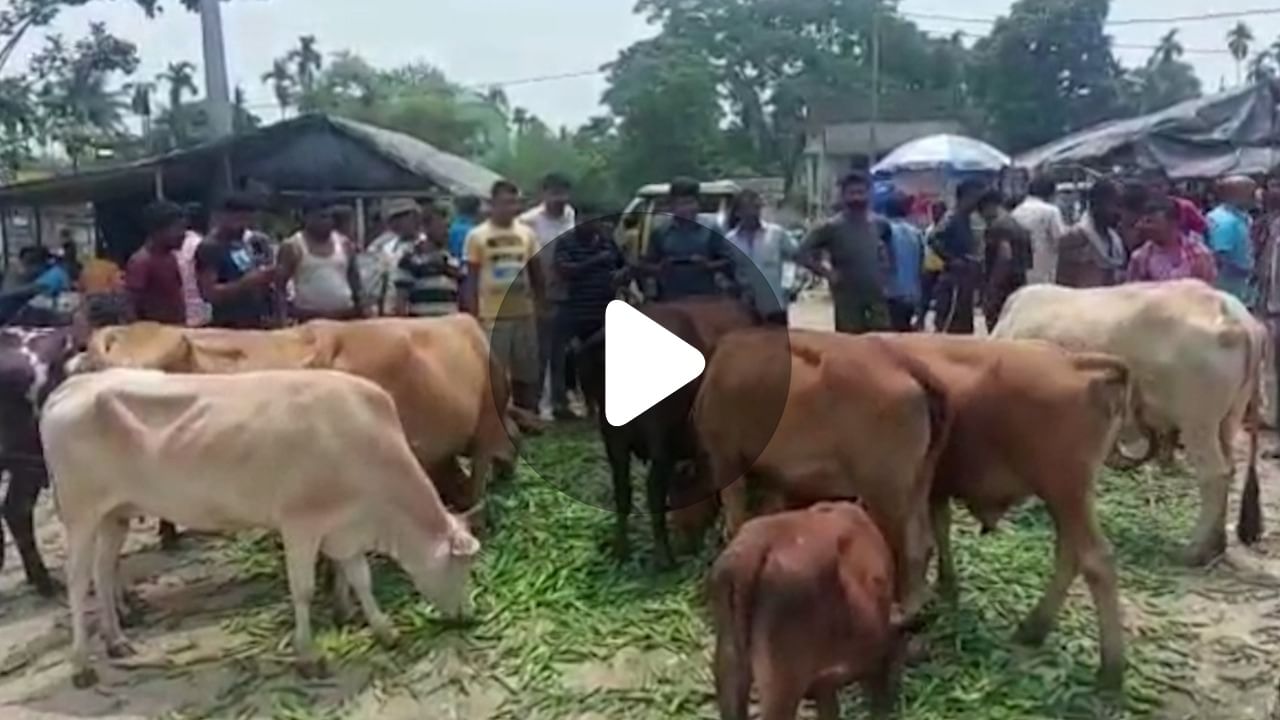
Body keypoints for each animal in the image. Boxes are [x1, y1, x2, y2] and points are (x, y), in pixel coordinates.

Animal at [42, 366, 481, 686]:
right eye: (463, 567)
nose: (468, 616)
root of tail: (72, 385)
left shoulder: (344, 530)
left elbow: (361, 579)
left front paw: (385, 631)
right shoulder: (301, 524)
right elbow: (303, 591)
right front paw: (309, 656)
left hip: (114, 514)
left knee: (103, 572)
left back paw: (117, 641)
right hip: (80, 513)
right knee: (77, 581)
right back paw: (81, 665)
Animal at [576, 297, 752, 566]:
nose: (688, 544)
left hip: (613, 437)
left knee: (622, 490)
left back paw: (622, 549)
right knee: (652, 490)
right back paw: (663, 556)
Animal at [988, 278, 1259, 563]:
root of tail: (1231, 313)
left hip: (1197, 423)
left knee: (1214, 475)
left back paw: (1196, 549)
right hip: (1227, 422)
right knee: (1230, 468)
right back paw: (1217, 544)